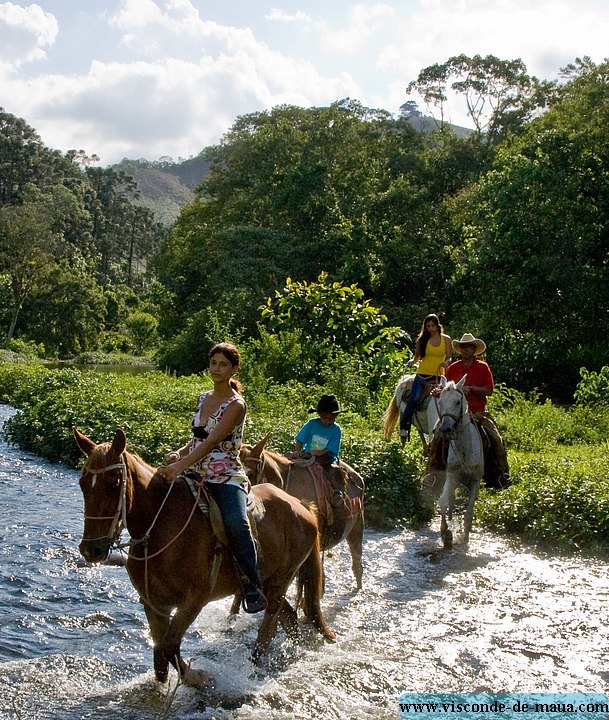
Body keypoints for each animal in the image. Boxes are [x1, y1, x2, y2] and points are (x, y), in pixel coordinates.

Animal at [75, 428, 338, 688]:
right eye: (83, 483)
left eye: (113, 483)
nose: (91, 550)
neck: (160, 526)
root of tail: (303, 506)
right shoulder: (154, 603)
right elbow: (160, 656)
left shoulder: (194, 600)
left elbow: (169, 646)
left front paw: (198, 677)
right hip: (266, 580)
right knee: (289, 617)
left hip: (281, 580)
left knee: (269, 626)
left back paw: (253, 667)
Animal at [434, 374, 482, 548]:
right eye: (440, 402)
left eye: (457, 402)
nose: (445, 429)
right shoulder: (451, 476)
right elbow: (443, 501)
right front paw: (445, 532)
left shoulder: (475, 481)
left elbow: (469, 513)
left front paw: (466, 538)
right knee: (451, 500)